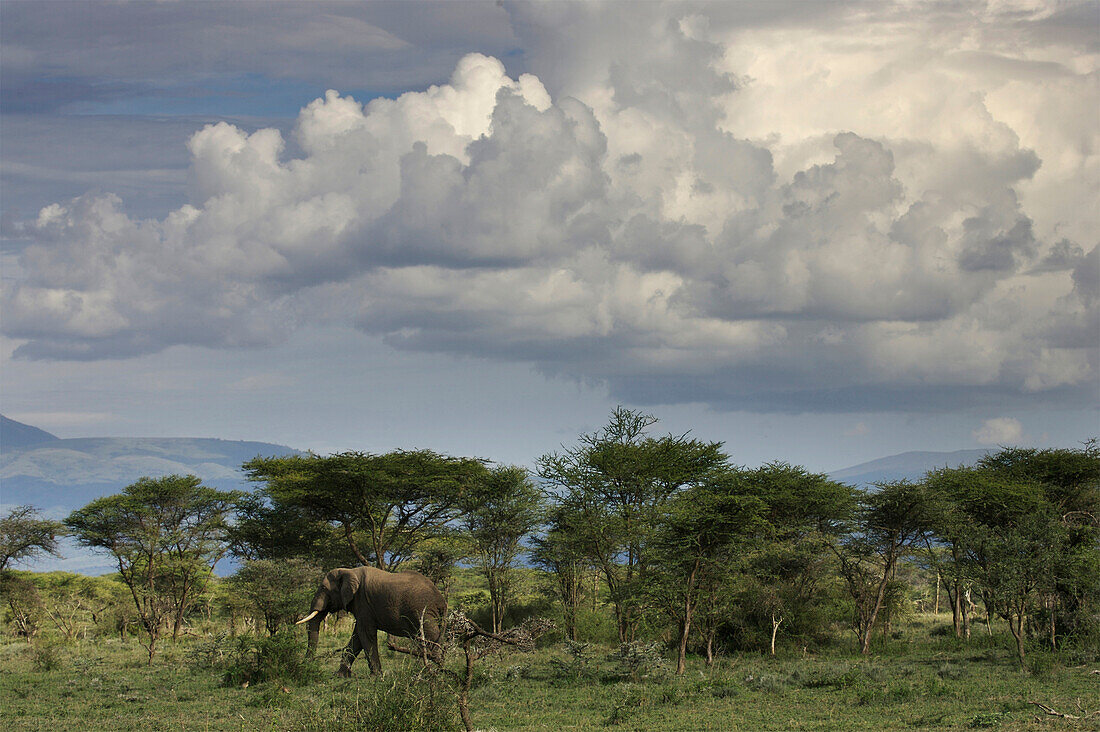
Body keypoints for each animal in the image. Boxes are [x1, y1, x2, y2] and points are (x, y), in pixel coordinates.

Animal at [297, 563, 446, 673]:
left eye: (323, 588)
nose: (306, 665)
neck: (349, 571)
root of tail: (441, 601)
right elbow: (357, 636)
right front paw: (341, 675)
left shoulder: (363, 602)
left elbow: (365, 634)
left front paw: (376, 676)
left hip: (423, 611)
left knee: (431, 635)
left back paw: (437, 670)